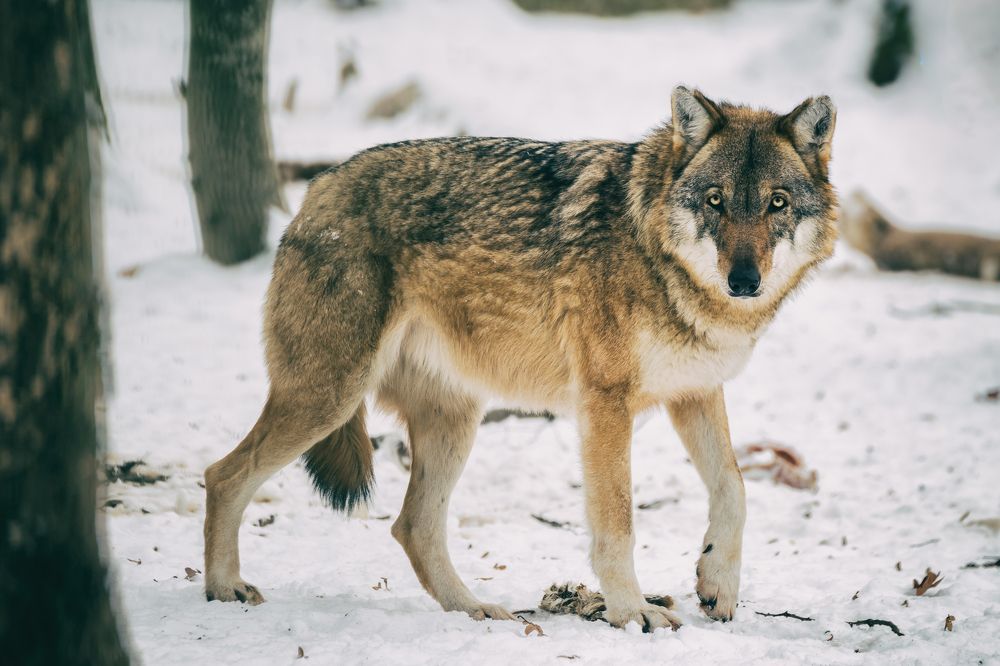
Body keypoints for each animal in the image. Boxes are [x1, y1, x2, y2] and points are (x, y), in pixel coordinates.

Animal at [203, 86, 838, 631]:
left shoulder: (694, 392)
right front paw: (633, 614)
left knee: (413, 526)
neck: (658, 257)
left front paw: (716, 585)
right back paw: (224, 588)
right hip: (329, 399)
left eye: (776, 203)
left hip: (453, 421)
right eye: (716, 201)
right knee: (222, 475)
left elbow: (735, 488)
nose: (744, 280)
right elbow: (619, 523)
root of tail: (318, 187)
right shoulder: (605, 404)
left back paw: (475, 610)